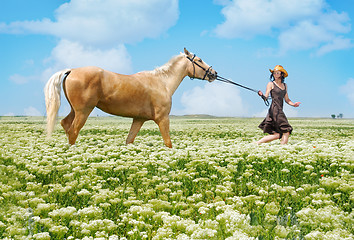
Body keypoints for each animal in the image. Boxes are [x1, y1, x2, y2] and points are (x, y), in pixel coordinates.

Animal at [43, 47, 216, 147]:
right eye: (200, 60)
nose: (214, 73)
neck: (162, 82)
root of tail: (71, 70)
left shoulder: (138, 120)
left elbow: (129, 140)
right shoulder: (162, 119)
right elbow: (168, 142)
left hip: (75, 110)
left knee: (65, 124)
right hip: (83, 111)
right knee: (73, 131)